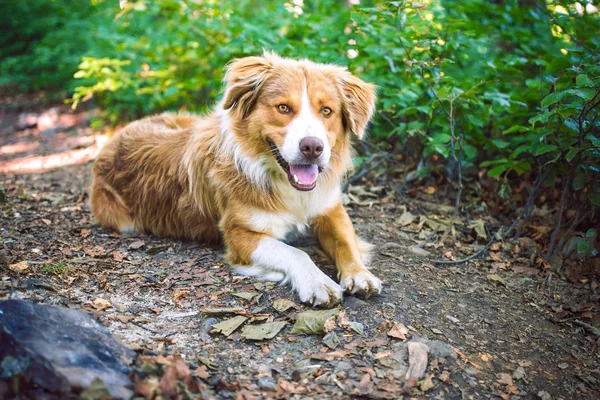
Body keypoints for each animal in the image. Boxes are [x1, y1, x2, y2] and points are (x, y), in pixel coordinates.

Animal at [90, 50, 380, 306]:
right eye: (283, 108)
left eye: (327, 111)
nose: (312, 147)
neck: (284, 184)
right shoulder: (239, 234)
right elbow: (295, 252)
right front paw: (317, 282)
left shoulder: (330, 208)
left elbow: (346, 242)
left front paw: (359, 274)